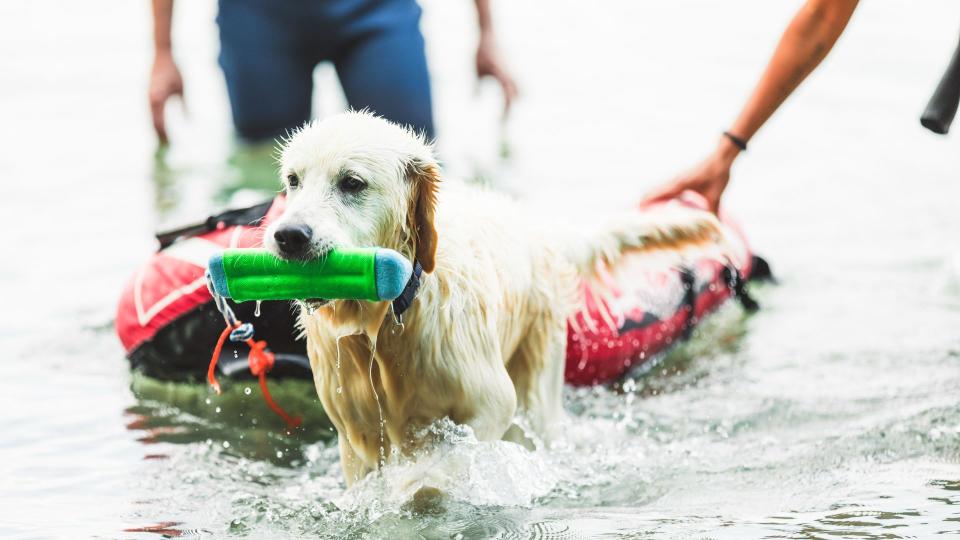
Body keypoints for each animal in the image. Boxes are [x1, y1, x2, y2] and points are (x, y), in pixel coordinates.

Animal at [264, 112, 728, 488]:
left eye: (352, 183)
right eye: (293, 180)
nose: (288, 236)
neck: (389, 318)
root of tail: (539, 230)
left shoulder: (490, 403)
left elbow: (434, 475)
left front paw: (414, 491)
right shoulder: (355, 434)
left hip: (536, 384)